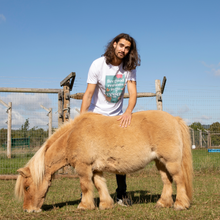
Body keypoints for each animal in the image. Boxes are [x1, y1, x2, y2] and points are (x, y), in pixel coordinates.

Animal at [14, 111, 192, 212]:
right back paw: (163, 203)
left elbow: (85, 186)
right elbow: (99, 185)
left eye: (27, 187)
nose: (27, 210)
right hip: (160, 163)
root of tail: (174, 119)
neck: (72, 136)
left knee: (179, 180)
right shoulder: (96, 169)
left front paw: (84, 206)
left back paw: (180, 204)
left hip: (171, 162)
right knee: (167, 181)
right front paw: (106, 205)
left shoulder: (83, 168)